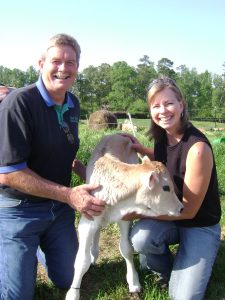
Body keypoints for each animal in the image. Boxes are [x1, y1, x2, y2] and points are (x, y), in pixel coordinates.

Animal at [65, 134, 183, 300]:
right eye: (166, 188)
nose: (181, 208)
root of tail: (115, 134)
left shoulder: (125, 218)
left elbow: (127, 249)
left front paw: (133, 283)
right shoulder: (87, 220)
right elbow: (81, 260)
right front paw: (73, 293)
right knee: (97, 231)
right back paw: (94, 255)